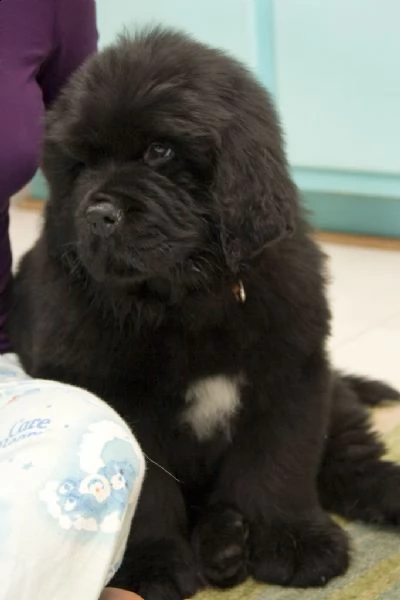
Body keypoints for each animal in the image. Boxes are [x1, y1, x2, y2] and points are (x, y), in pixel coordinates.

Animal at [9, 27, 400, 600]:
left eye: (160, 151)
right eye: (80, 165)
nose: (98, 215)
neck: (187, 299)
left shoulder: (289, 373)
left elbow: (279, 465)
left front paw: (293, 541)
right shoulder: (120, 398)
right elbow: (146, 497)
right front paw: (151, 566)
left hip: (334, 394)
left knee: (349, 459)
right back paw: (223, 546)